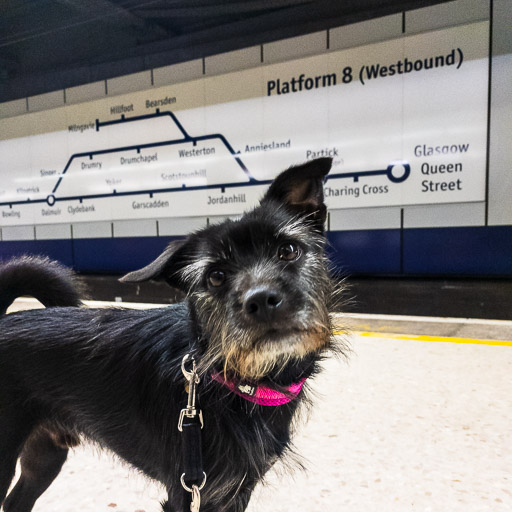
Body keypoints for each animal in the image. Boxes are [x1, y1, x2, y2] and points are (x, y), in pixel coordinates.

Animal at [1, 158, 344, 510]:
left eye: (288, 250)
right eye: (216, 276)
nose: (260, 300)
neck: (228, 382)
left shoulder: (236, 491)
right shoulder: (187, 491)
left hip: (46, 454)